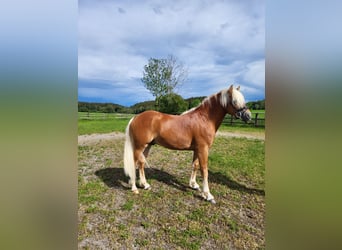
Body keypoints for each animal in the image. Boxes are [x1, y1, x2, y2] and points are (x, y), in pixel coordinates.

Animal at [123, 84, 251, 203]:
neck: (204, 119)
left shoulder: (197, 149)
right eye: (234, 101)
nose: (248, 116)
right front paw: (208, 195)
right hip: (139, 147)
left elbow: (195, 166)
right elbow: (204, 170)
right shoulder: (203, 149)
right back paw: (134, 188)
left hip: (147, 146)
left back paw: (145, 185)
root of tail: (135, 117)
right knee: (134, 163)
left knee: (141, 163)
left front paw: (193, 185)